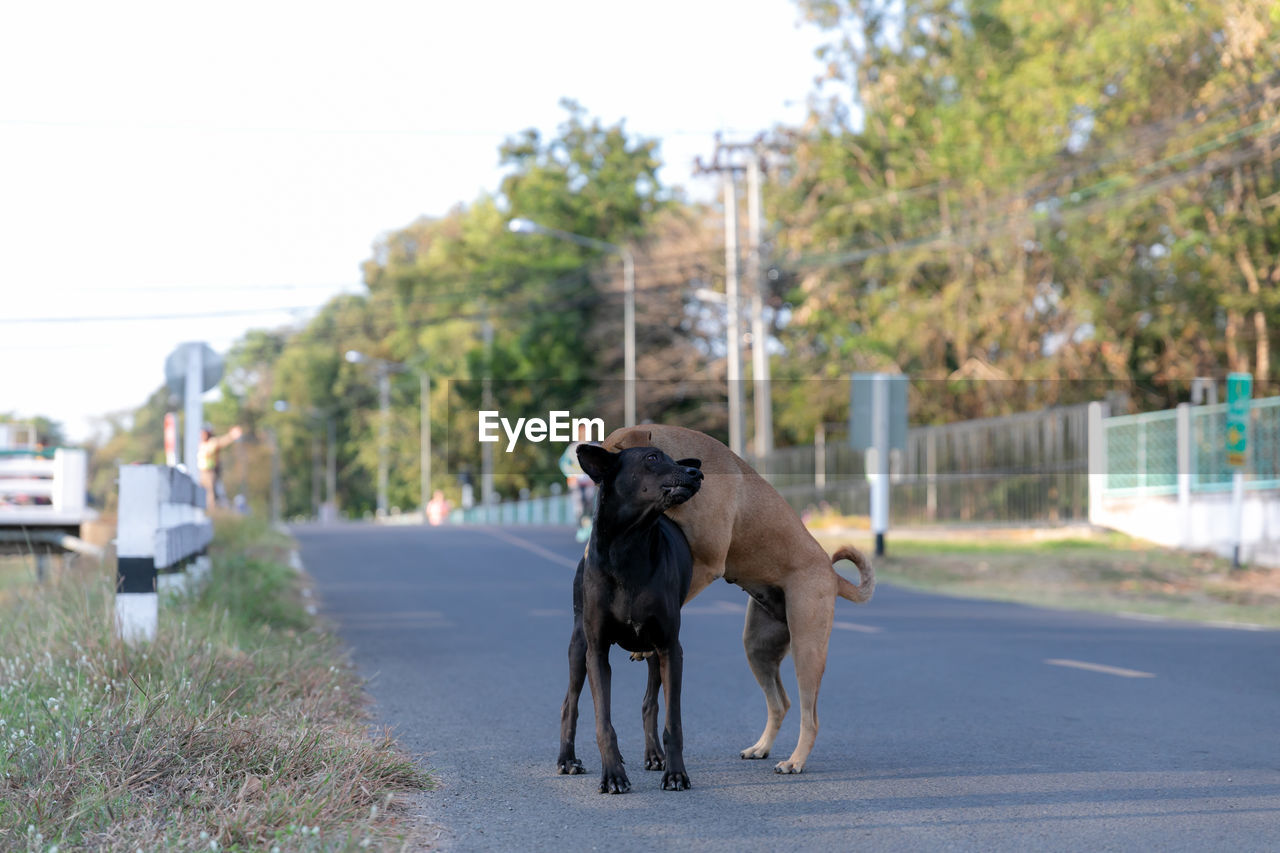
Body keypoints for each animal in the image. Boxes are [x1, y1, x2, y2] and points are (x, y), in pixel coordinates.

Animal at [558, 445, 706, 788]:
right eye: (652, 458)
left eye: (674, 459)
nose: (697, 473)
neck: (630, 545)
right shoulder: (597, 651)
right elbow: (603, 722)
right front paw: (613, 774)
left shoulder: (669, 648)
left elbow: (672, 723)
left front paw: (675, 773)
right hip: (578, 645)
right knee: (569, 704)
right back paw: (567, 759)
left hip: (653, 651)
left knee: (649, 703)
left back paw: (654, 756)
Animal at [604, 422, 875, 768]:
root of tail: (832, 574)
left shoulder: (707, 564)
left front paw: (642, 646)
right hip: (758, 648)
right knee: (780, 703)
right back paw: (761, 747)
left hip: (807, 649)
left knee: (810, 716)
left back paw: (795, 761)